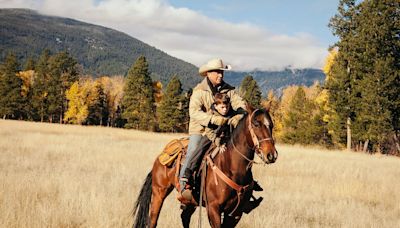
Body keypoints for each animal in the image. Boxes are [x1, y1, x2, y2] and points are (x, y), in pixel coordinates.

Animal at [133, 106, 276, 227]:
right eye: (256, 124)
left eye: (271, 125)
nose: (271, 155)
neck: (233, 168)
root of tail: (160, 157)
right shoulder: (213, 209)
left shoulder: (235, 214)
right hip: (159, 192)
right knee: (153, 220)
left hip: (190, 200)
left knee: (185, 217)